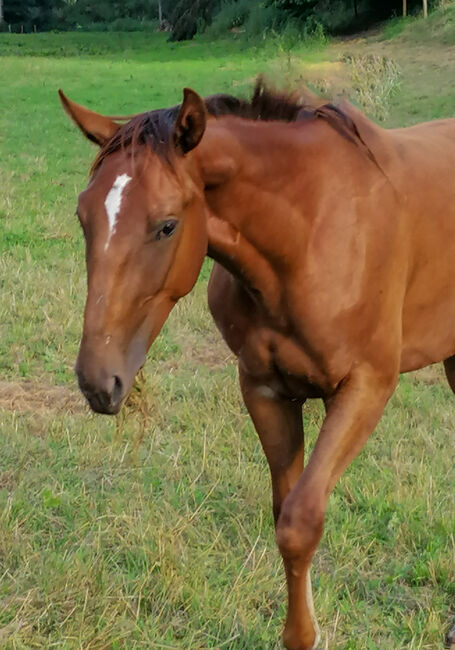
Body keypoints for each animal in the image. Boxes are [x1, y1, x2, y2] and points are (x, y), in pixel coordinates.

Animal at [58, 81, 455, 648]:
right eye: (83, 216)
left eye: (166, 226)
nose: (97, 381)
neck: (308, 233)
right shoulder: (265, 389)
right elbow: (282, 514)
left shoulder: (365, 387)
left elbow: (301, 521)